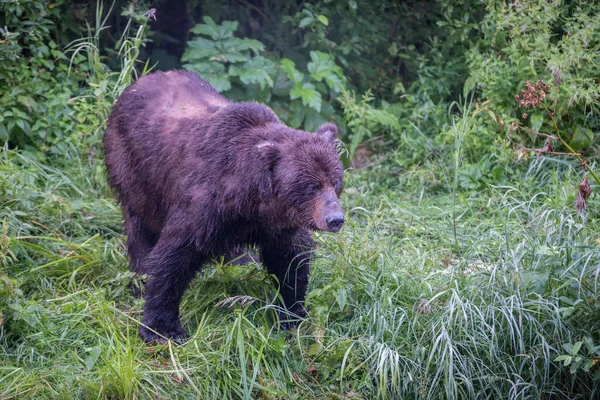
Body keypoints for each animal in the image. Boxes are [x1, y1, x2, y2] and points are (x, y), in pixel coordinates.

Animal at [105, 70, 344, 342]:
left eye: (336, 181)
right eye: (311, 185)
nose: (335, 219)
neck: (252, 201)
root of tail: (137, 83)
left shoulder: (277, 225)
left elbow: (290, 261)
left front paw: (291, 315)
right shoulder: (203, 206)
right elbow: (174, 257)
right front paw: (163, 329)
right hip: (135, 173)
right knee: (140, 229)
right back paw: (140, 278)